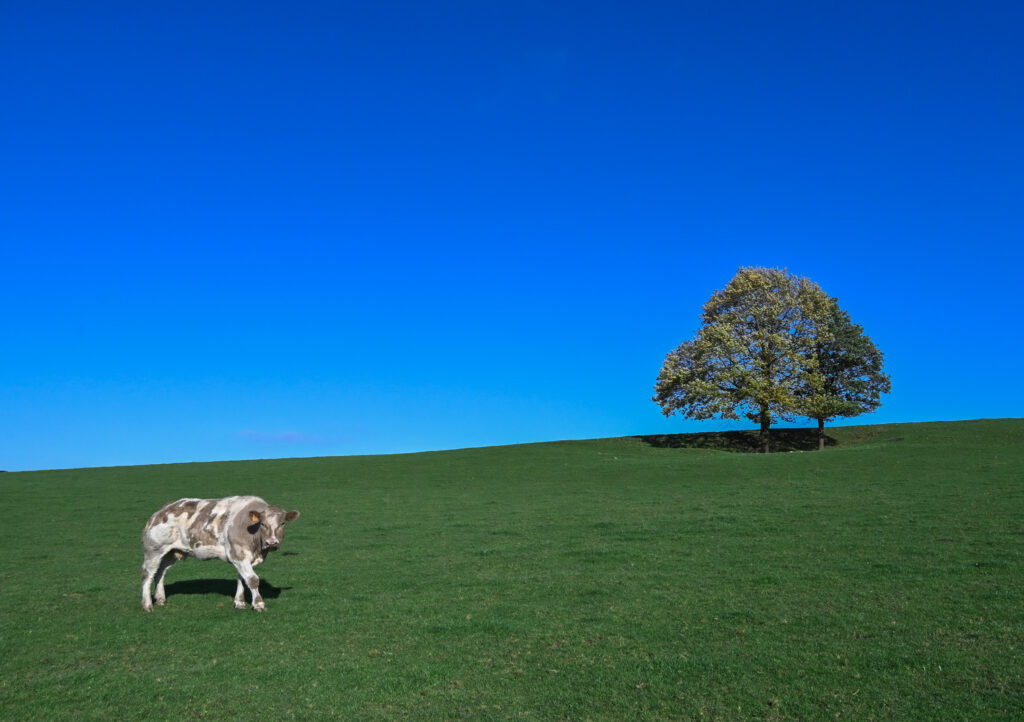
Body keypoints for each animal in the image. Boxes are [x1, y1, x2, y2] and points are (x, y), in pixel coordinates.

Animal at [141, 496, 300, 612]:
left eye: (283, 523)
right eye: (262, 524)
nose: (272, 542)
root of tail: (162, 511)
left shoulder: (238, 558)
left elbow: (242, 579)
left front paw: (239, 603)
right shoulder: (239, 555)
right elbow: (253, 579)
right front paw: (259, 604)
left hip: (170, 553)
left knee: (160, 572)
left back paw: (160, 599)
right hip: (154, 550)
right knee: (147, 574)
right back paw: (147, 604)